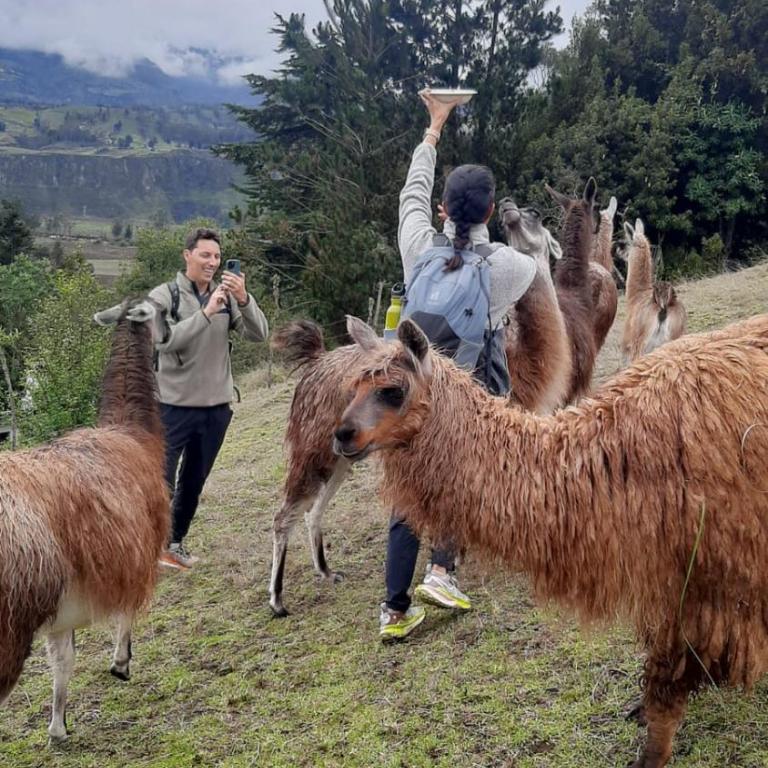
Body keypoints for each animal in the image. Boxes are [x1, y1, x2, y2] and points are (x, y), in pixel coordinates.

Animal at [0, 299, 169, 741]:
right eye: (163, 309)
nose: (170, 333)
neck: (132, 433)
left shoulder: (64, 608)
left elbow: (63, 662)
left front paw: (58, 727)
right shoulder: (141, 552)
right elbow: (127, 611)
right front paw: (121, 663)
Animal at [335, 313, 768, 768]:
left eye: (392, 391)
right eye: (351, 389)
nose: (343, 435)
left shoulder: (713, 576)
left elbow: (669, 677)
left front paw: (651, 752)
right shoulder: (673, 578)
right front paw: (647, 711)